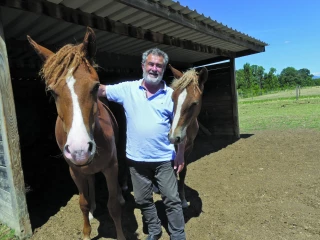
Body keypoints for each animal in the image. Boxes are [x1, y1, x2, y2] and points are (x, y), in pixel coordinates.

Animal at [27, 28, 125, 240]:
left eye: (95, 86)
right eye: (52, 91)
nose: (79, 150)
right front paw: (87, 232)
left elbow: (113, 207)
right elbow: (83, 202)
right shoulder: (75, 171)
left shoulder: (110, 167)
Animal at [168, 65, 208, 208]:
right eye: (172, 98)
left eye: (194, 103)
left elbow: (183, 171)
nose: (173, 137)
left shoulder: (188, 148)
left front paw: (184, 200)